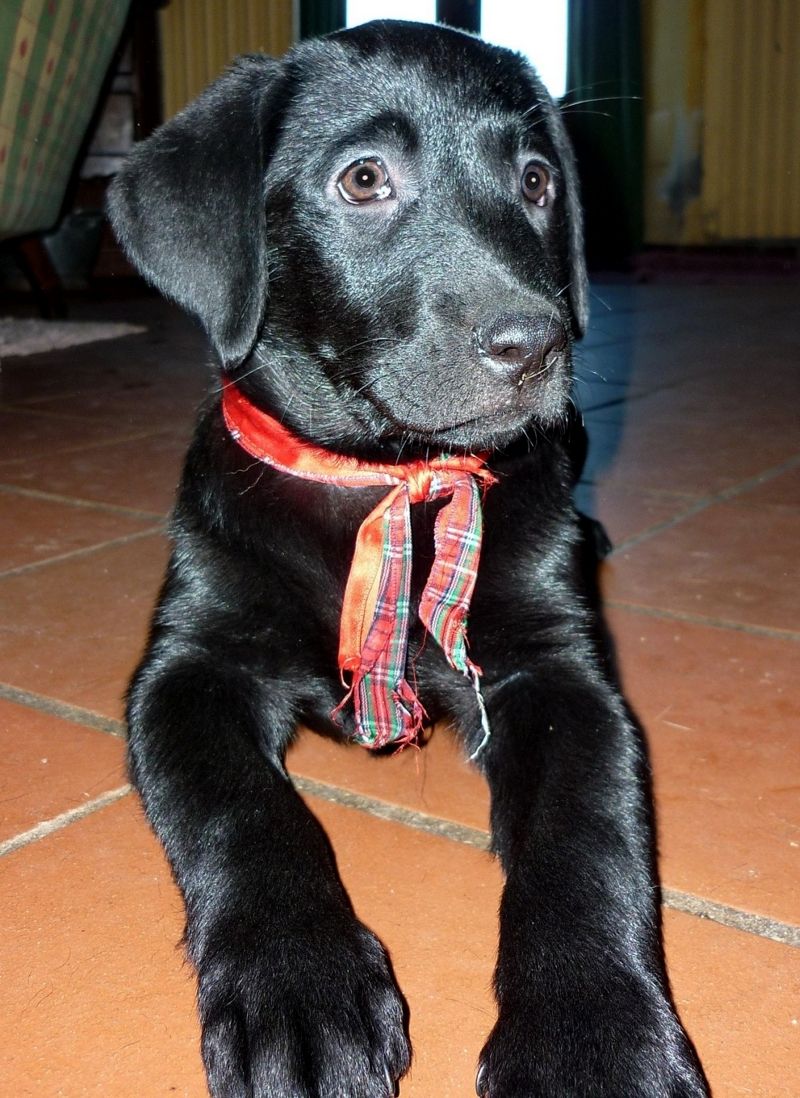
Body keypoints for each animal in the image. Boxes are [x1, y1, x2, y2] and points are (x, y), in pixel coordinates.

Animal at [109, 17, 706, 1098]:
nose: (535, 343)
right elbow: (245, 810)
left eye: (534, 181)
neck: (382, 481)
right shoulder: (187, 667)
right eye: (363, 180)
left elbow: (585, 841)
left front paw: (593, 1038)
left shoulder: (558, 675)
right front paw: (297, 987)